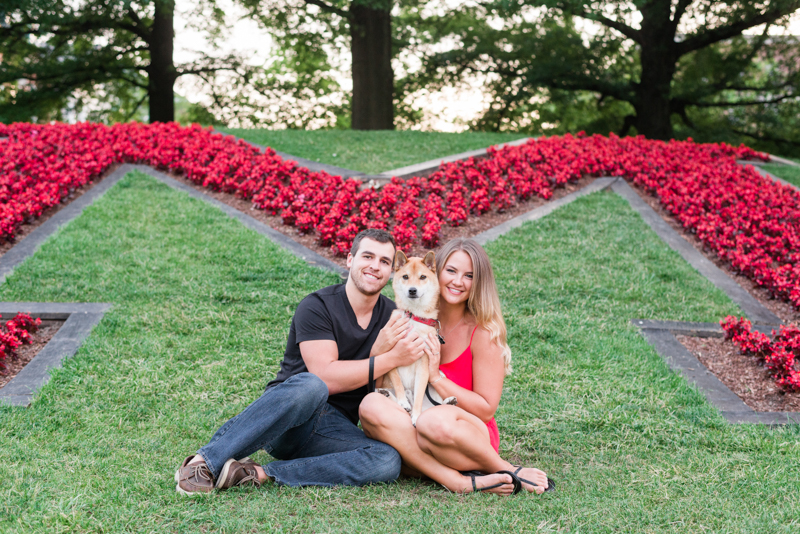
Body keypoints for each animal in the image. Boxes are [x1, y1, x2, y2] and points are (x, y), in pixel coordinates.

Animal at [380, 250, 456, 428]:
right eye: (405, 277)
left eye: (422, 277)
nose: (412, 290)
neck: (413, 317)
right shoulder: (390, 353)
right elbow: (396, 380)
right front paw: (402, 401)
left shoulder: (424, 362)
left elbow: (421, 392)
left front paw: (416, 415)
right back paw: (388, 395)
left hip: (438, 378)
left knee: (433, 404)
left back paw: (449, 402)